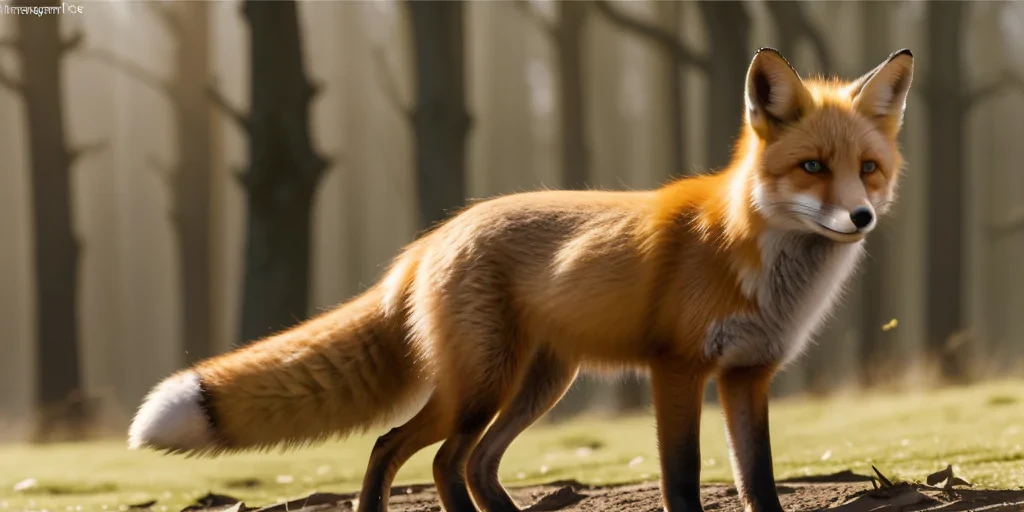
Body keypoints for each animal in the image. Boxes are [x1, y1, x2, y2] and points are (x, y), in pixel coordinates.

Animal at [128, 47, 914, 512]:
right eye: (812, 167)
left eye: (868, 169)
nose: (861, 217)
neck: (752, 256)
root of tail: (431, 238)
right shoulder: (678, 369)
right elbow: (684, 480)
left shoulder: (748, 376)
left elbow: (760, 481)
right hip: (480, 386)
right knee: (412, 452)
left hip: (537, 384)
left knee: (470, 466)